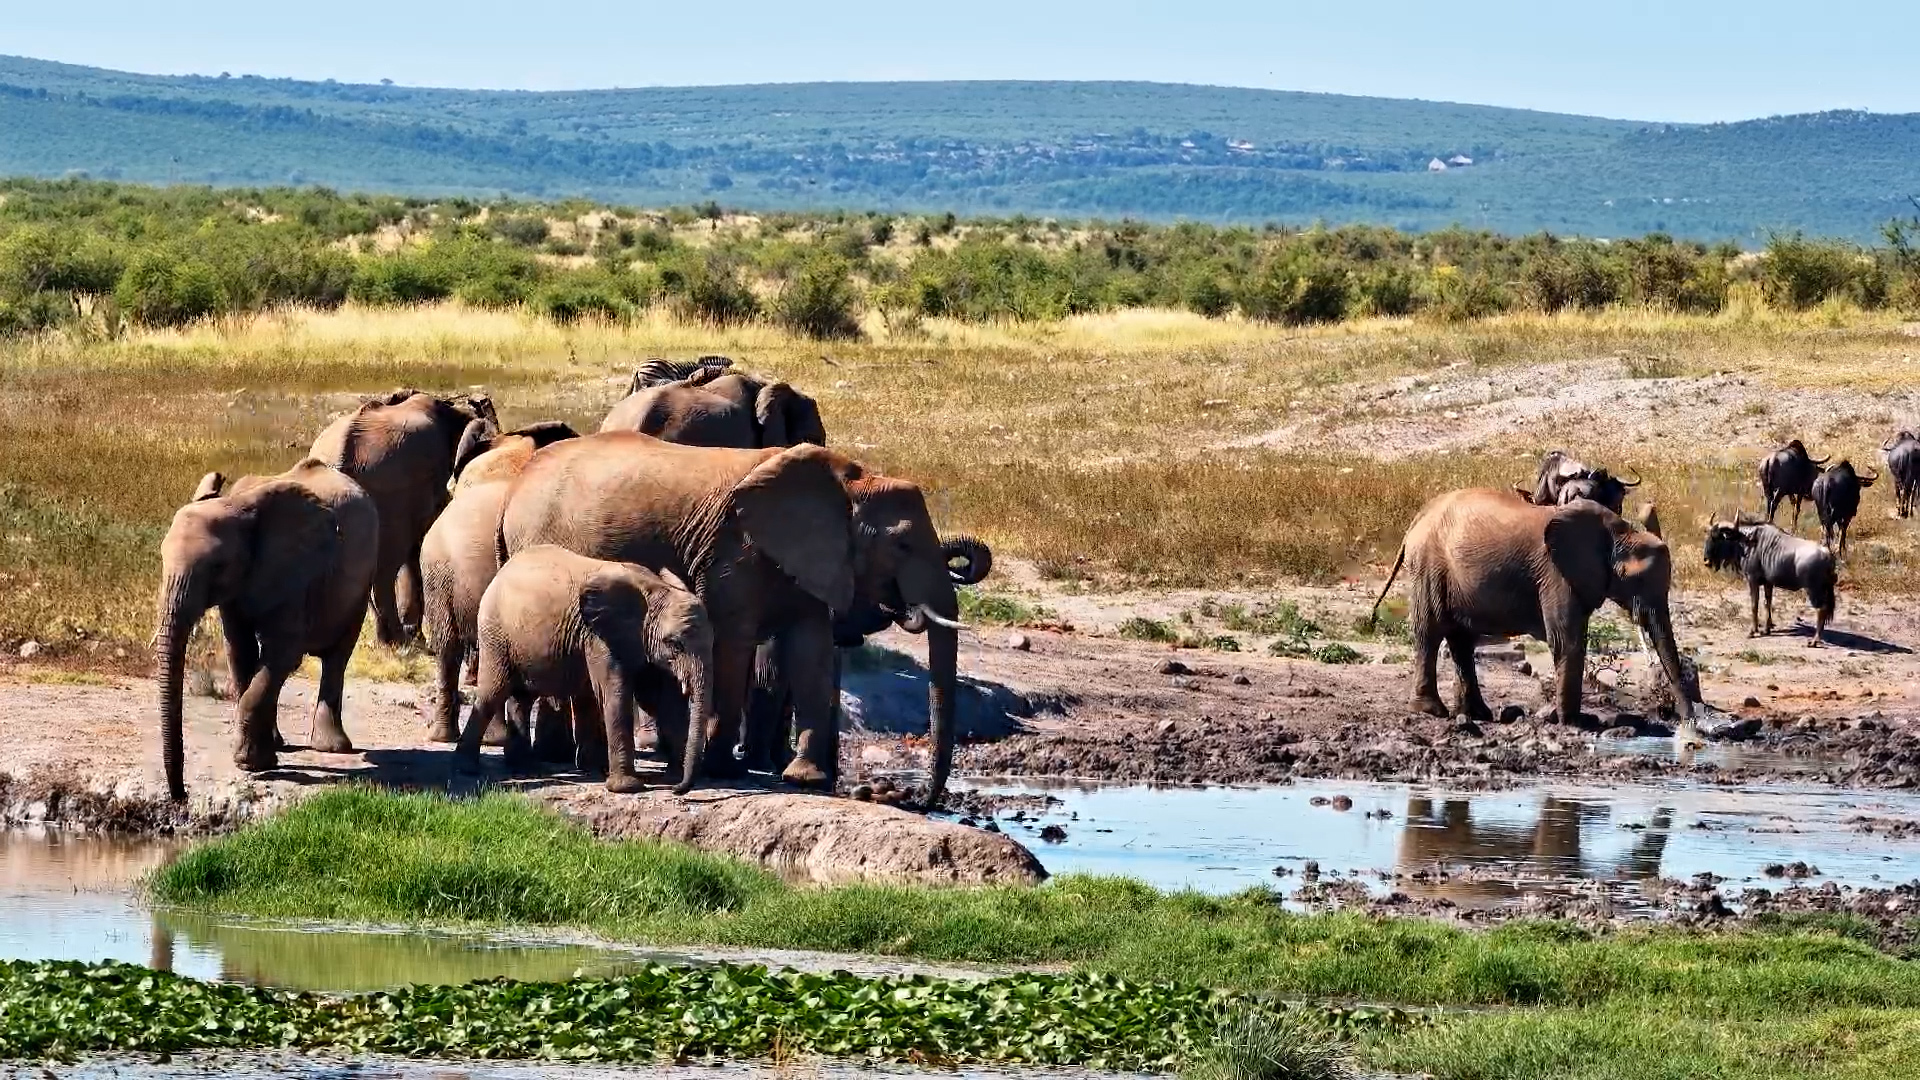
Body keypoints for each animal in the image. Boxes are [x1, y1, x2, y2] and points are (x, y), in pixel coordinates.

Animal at [154, 460, 379, 800]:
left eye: (217, 567)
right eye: (162, 557)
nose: (182, 795)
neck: (237, 507)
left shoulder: (298, 571)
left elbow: (282, 654)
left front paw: (249, 764)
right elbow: (239, 652)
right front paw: (261, 759)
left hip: (362, 582)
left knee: (337, 657)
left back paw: (332, 748)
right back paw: (279, 745)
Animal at [457, 545, 715, 794]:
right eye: (674, 644)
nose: (676, 790)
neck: (657, 591)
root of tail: (500, 573)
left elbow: (662, 699)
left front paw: (673, 776)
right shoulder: (599, 637)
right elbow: (616, 694)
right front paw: (628, 788)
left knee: (522, 699)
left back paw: (527, 768)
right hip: (495, 634)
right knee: (492, 693)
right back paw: (468, 768)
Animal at [499, 434, 964, 803]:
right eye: (902, 545)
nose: (924, 801)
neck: (850, 481)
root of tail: (515, 487)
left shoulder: (813, 560)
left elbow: (810, 650)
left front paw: (805, 779)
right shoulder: (732, 555)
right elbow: (734, 646)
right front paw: (725, 770)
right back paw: (557, 759)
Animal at [1371, 488, 1695, 740]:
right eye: (1638, 581)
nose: (1691, 726)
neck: (1619, 531)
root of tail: (1417, 519)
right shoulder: (1555, 574)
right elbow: (1567, 640)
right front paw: (1573, 723)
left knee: (1461, 640)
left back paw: (1478, 713)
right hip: (1429, 565)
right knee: (1431, 632)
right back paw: (1432, 711)